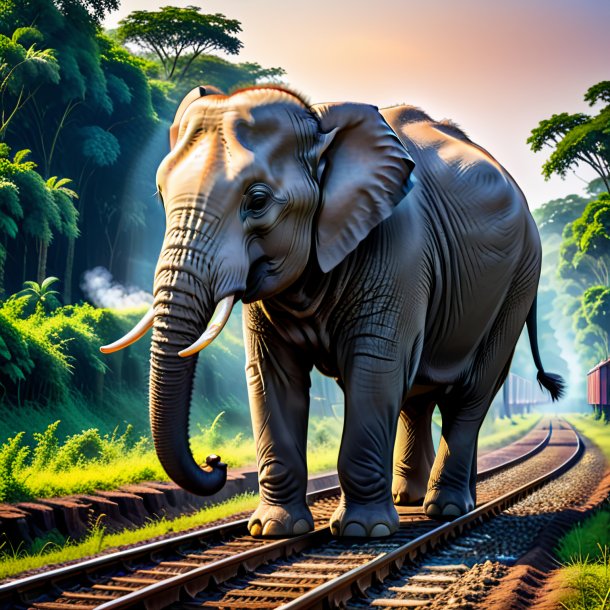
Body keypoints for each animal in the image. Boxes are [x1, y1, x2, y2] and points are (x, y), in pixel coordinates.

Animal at [98, 84, 560, 536]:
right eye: (161, 194)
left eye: (258, 201)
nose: (216, 461)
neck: (318, 124)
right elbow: (272, 373)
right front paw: (273, 530)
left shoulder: (400, 248)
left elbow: (376, 366)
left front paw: (362, 532)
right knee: (417, 398)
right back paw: (410, 500)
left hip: (519, 280)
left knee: (469, 395)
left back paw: (445, 508)